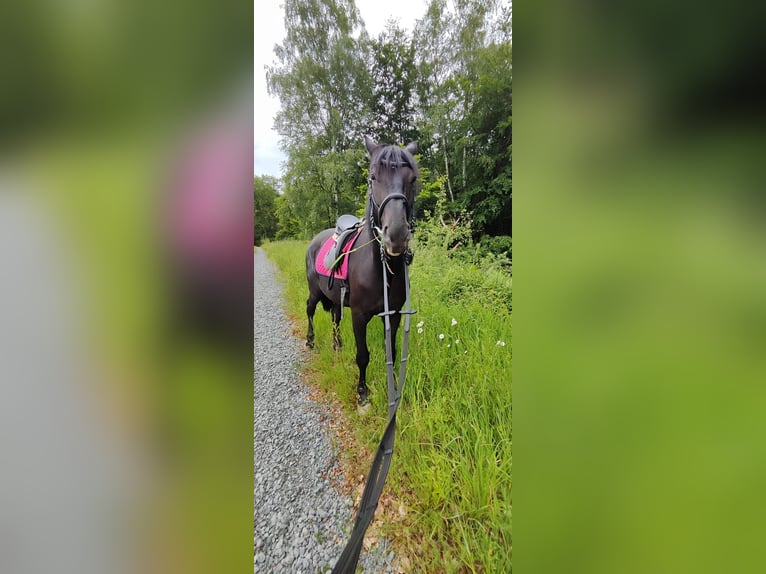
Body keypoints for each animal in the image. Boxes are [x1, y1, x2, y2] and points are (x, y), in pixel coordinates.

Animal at [306, 136, 420, 404]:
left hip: (334, 298)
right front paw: (362, 393)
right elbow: (363, 355)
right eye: (372, 177)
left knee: (335, 317)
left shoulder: (394, 315)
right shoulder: (359, 316)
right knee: (310, 309)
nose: (396, 235)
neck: (380, 270)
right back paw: (310, 340)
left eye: (413, 179)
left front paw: (394, 391)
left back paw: (337, 346)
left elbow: (393, 352)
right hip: (315, 292)